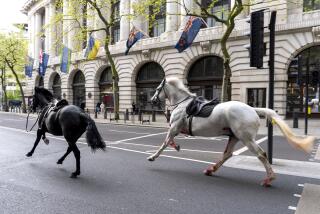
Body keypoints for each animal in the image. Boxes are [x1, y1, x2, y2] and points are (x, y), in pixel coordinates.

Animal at [148, 77, 316, 186]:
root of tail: (253, 109)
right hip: (234, 136)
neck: (183, 104)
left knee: (261, 154)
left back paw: (269, 178)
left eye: (157, 89)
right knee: (227, 154)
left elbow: (165, 142)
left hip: (246, 138)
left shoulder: (174, 127)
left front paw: (153, 156)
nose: (152, 100)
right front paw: (176, 146)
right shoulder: (176, 129)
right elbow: (170, 141)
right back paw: (211, 169)